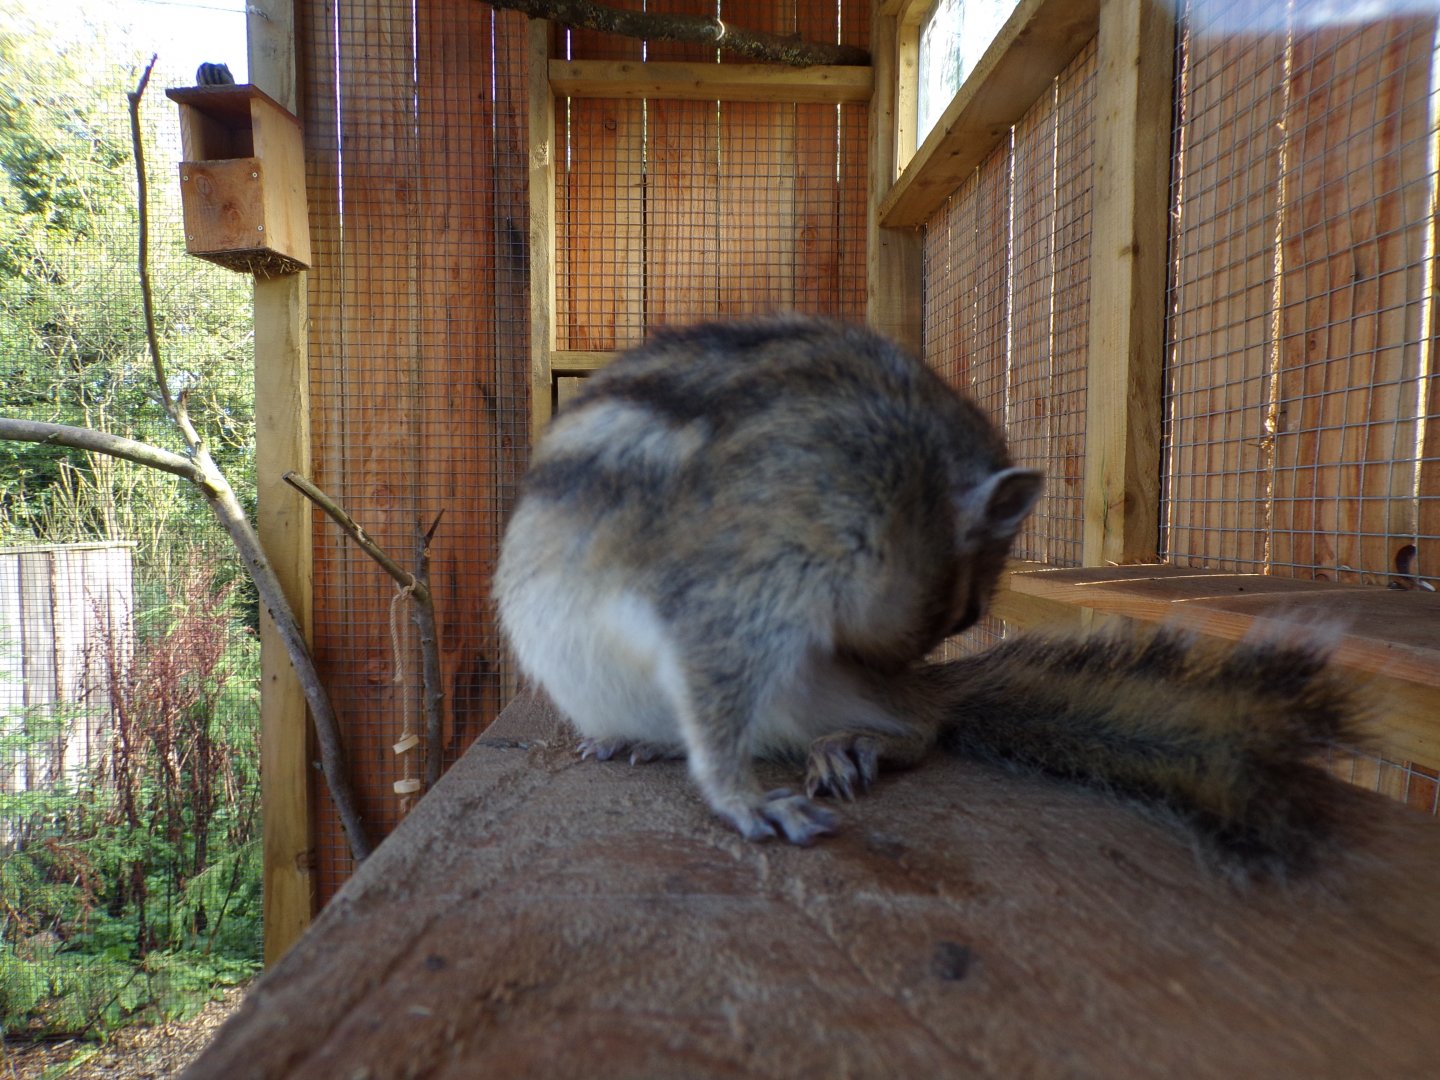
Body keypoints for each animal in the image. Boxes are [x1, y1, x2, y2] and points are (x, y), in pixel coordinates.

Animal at [496, 315, 1359, 878]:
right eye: (965, 611)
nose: (892, 662)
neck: (907, 481)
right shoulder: (757, 572)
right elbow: (716, 694)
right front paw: (745, 799)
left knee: (924, 727)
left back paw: (859, 740)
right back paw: (653, 740)